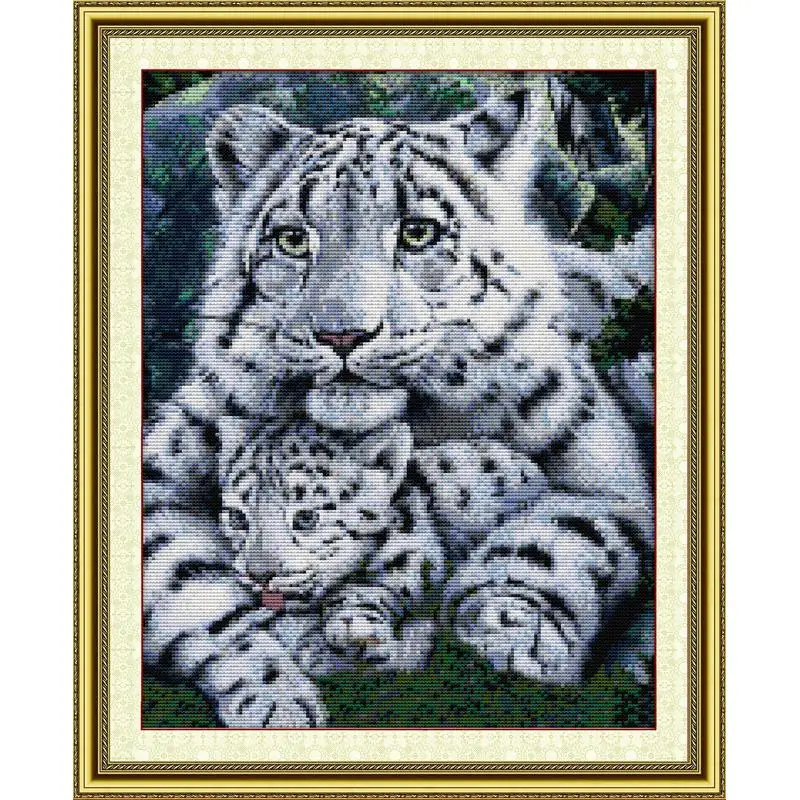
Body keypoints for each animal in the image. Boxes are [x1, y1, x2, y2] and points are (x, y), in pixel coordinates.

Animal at [143, 87, 654, 727]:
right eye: (292, 238)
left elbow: (566, 531)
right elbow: (193, 588)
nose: (341, 334)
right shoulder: (160, 477)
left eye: (418, 232)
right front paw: (277, 694)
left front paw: (511, 629)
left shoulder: (611, 480)